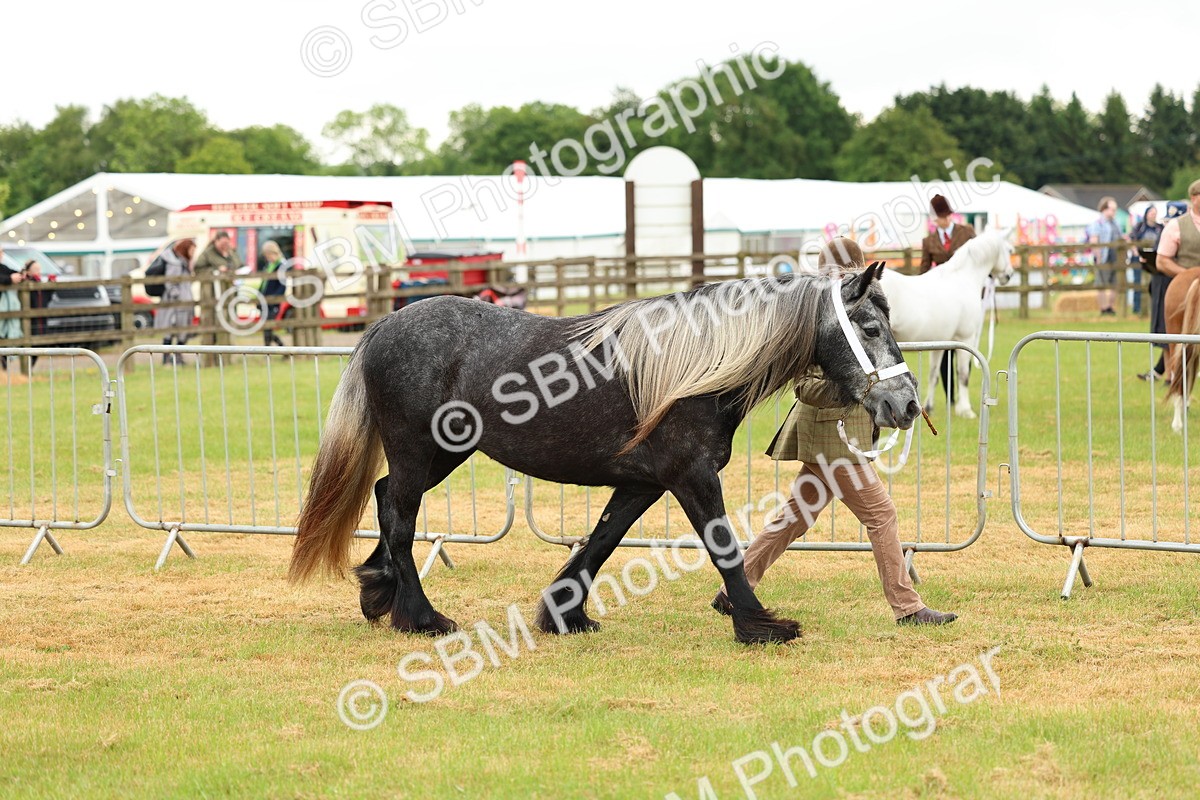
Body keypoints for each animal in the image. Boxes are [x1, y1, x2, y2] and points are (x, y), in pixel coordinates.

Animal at [287, 265, 921, 645]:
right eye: (868, 327)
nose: (907, 403)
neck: (693, 367)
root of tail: (384, 325)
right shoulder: (691, 477)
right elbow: (724, 548)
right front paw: (759, 624)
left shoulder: (643, 483)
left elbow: (602, 541)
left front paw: (564, 615)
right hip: (425, 453)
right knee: (398, 515)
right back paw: (421, 617)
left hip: (438, 455)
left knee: (384, 498)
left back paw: (378, 592)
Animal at [878, 229, 1014, 419]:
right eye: (1009, 250)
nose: (1008, 275)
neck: (962, 278)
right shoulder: (965, 338)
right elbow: (963, 375)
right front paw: (966, 410)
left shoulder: (938, 344)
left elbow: (933, 376)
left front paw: (928, 406)